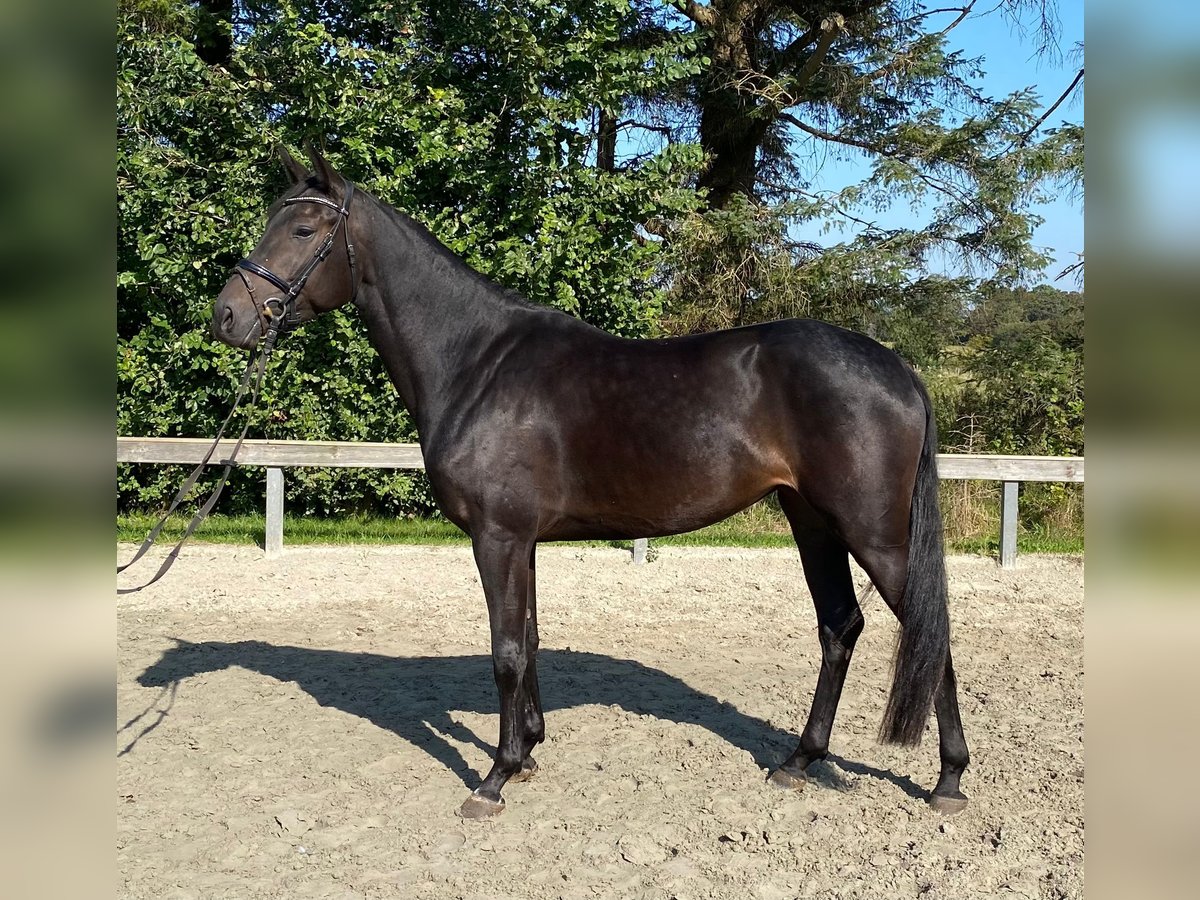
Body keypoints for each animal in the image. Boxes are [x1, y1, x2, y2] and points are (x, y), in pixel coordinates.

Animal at [211, 144, 969, 820]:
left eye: (304, 229)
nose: (227, 317)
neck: (474, 361)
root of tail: (899, 370)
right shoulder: (523, 542)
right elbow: (529, 639)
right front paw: (528, 750)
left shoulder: (497, 537)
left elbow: (506, 651)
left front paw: (494, 778)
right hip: (811, 521)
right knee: (840, 626)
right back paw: (799, 762)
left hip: (874, 534)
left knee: (927, 633)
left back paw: (948, 781)